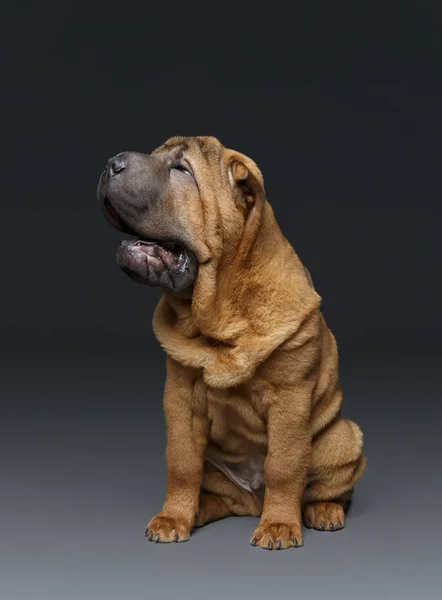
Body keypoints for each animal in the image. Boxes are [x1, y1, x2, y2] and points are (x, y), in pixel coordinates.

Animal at [97, 137, 366, 552]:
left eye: (182, 170)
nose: (111, 163)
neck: (218, 313)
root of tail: (254, 501)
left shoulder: (290, 399)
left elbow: (284, 466)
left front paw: (279, 526)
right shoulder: (179, 398)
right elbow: (181, 463)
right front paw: (173, 518)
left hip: (344, 438)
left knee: (327, 489)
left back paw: (322, 511)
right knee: (221, 494)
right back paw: (200, 510)